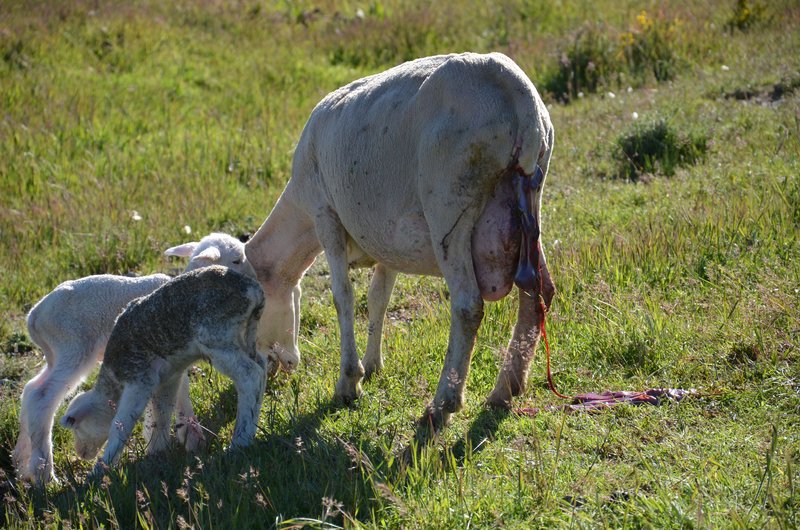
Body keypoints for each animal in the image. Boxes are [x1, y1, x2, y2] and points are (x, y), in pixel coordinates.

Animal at [13, 231, 256, 482]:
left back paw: (23, 464)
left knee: (31, 389)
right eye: (237, 260)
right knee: (42, 397)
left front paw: (163, 435)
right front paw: (188, 437)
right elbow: (180, 388)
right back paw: (45, 473)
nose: (256, 276)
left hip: (55, 354)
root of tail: (34, 316)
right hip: (73, 348)